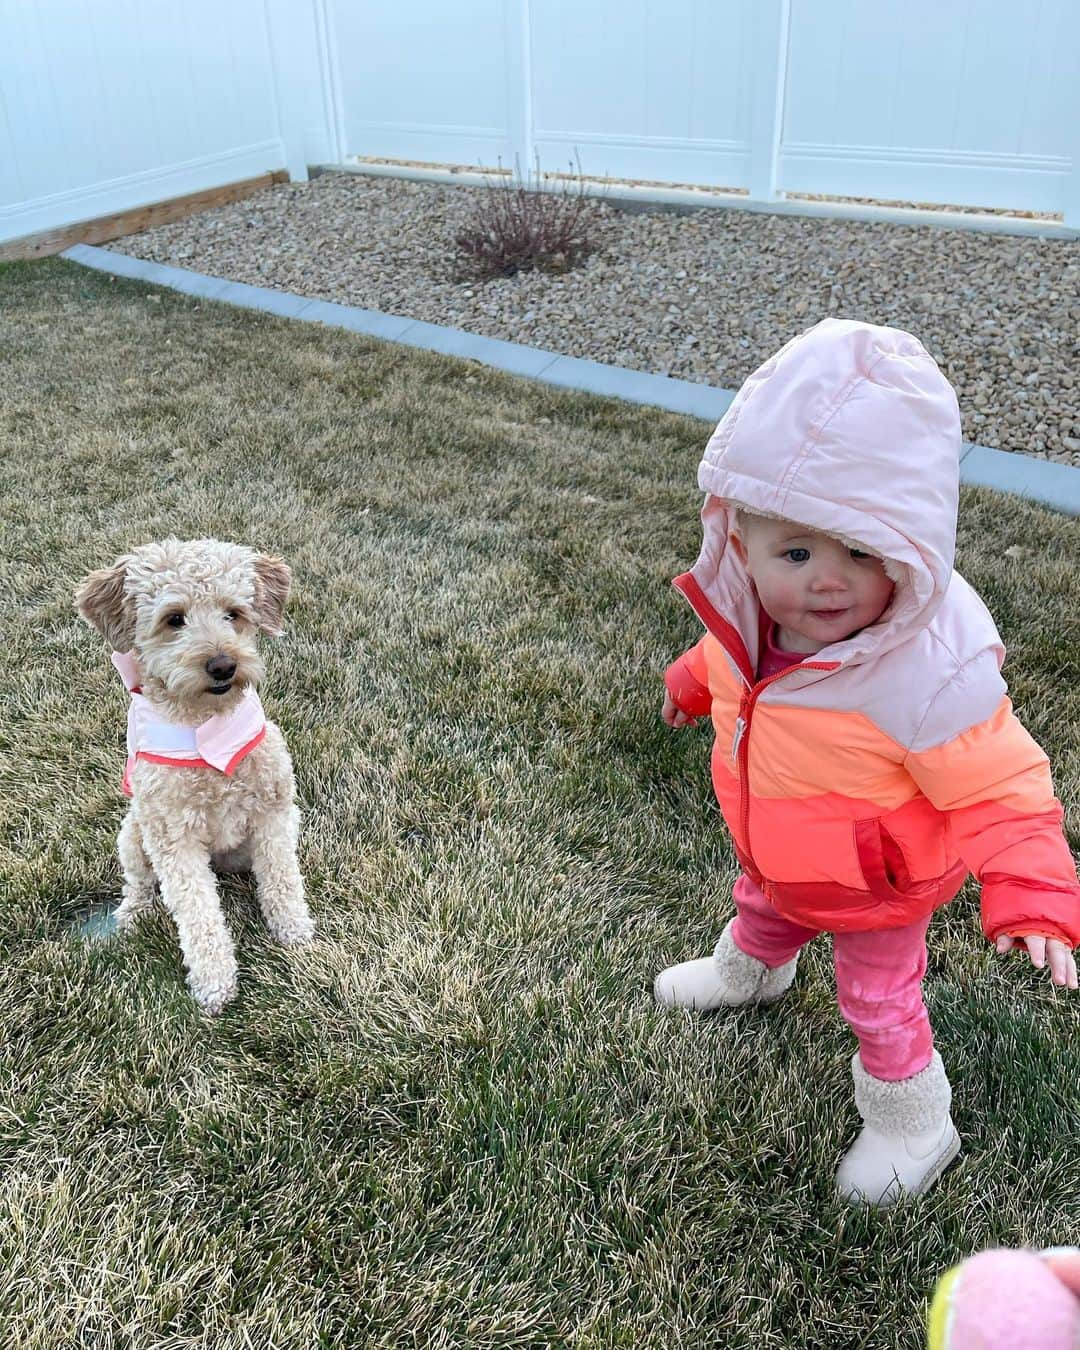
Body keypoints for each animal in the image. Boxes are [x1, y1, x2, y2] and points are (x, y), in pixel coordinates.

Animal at [77, 537, 314, 1015]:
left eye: (234, 613)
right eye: (174, 619)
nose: (223, 665)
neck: (206, 723)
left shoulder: (274, 812)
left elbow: (282, 880)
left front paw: (294, 932)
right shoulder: (174, 840)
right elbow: (198, 913)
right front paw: (214, 983)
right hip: (133, 833)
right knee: (139, 883)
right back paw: (132, 914)